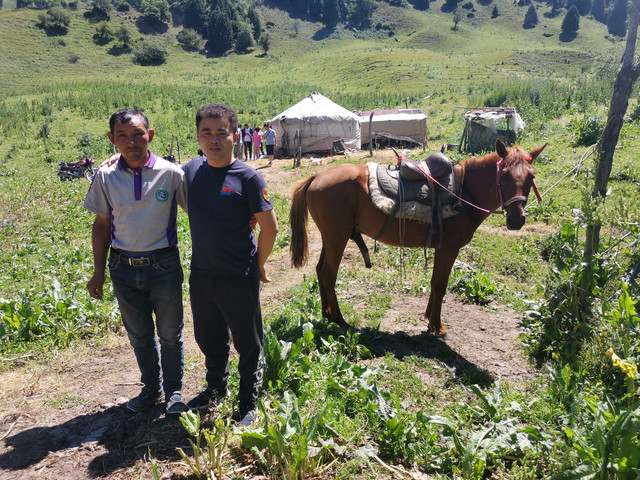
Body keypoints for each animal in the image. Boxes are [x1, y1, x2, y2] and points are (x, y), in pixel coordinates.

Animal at [289, 139, 547, 336]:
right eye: (503, 175)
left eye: (532, 177)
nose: (516, 220)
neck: (464, 192)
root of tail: (315, 177)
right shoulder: (449, 248)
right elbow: (441, 285)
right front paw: (437, 326)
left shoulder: (441, 248)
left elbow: (434, 283)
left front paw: (428, 318)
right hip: (337, 237)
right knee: (328, 274)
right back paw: (339, 319)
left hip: (331, 237)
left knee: (320, 270)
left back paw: (326, 314)